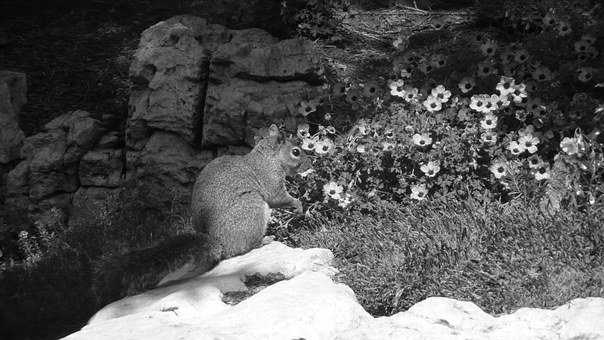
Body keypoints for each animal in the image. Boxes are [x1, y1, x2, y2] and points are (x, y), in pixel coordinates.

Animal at [95, 125, 312, 306]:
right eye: (296, 151)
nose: (310, 162)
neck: (268, 156)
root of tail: (218, 241)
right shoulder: (270, 179)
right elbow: (278, 197)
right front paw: (298, 205)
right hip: (252, 208)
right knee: (242, 248)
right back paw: (264, 240)